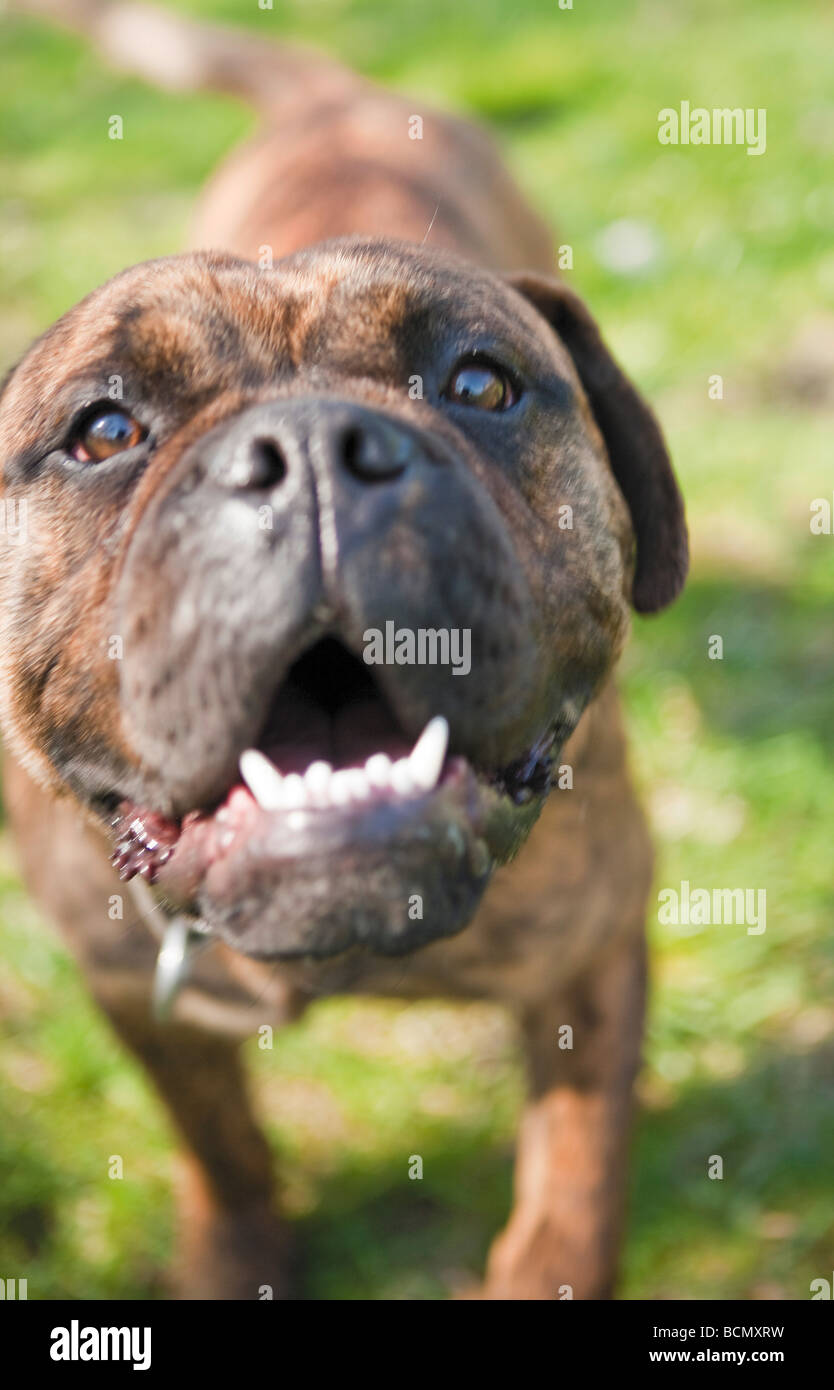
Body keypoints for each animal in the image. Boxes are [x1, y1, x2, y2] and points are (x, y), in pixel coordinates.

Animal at [3, 2, 686, 1301]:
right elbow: (222, 1147)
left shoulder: (590, 948)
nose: (315, 446)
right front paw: (240, 1252)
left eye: (481, 382)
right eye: (103, 430)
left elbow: (576, 1182)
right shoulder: (139, 999)